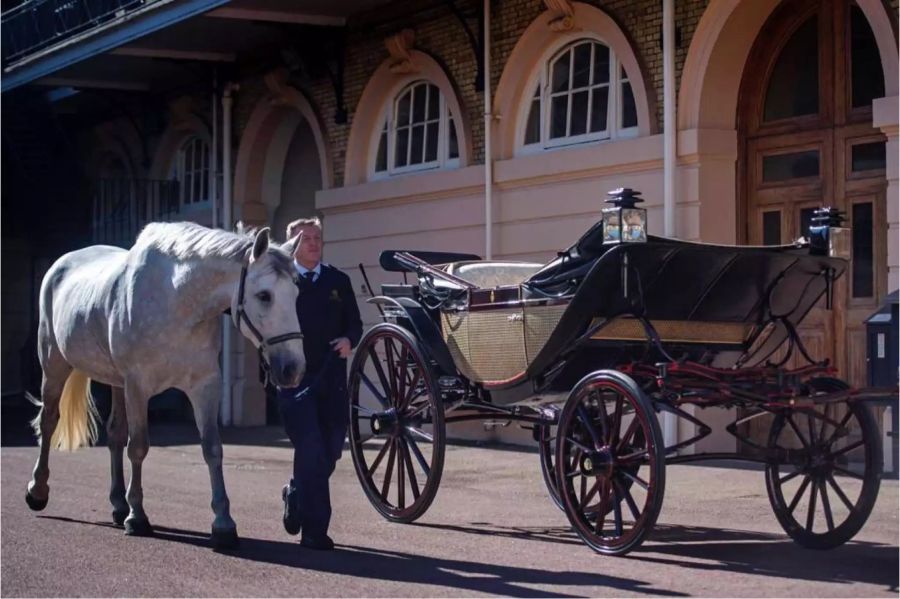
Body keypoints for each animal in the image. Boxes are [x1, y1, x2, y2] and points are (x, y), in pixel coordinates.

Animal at [25, 223, 306, 552]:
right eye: (264, 295)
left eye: (296, 292)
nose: (293, 369)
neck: (177, 300)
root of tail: (61, 264)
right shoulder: (138, 386)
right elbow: (138, 447)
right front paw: (138, 518)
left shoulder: (204, 386)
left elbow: (212, 449)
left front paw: (223, 524)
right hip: (54, 365)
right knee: (49, 421)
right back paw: (38, 491)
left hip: (116, 382)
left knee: (114, 434)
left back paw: (118, 504)